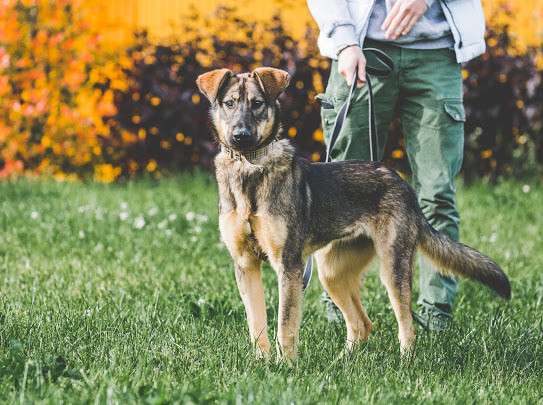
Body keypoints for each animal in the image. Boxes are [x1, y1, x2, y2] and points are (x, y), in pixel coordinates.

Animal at [198, 68, 512, 362]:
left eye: (258, 103)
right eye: (229, 103)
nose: (240, 136)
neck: (249, 168)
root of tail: (402, 184)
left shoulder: (288, 266)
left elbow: (284, 326)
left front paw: (286, 366)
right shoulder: (246, 265)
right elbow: (257, 324)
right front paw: (262, 363)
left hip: (392, 269)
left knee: (405, 326)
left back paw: (404, 364)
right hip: (332, 273)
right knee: (362, 324)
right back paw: (342, 363)